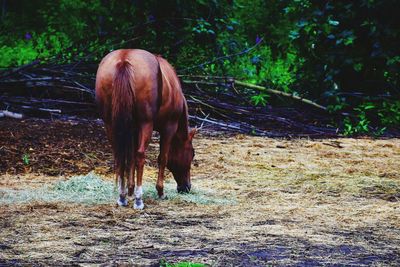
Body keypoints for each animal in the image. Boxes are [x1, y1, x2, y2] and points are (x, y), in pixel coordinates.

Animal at [97, 49, 197, 210]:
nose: (186, 187)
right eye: (192, 154)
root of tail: (124, 59)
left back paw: (122, 196)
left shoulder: (134, 129)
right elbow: (163, 158)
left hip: (110, 124)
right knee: (140, 155)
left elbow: (130, 157)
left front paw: (130, 189)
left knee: (120, 156)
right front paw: (160, 191)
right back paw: (139, 200)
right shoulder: (168, 128)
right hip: (146, 124)